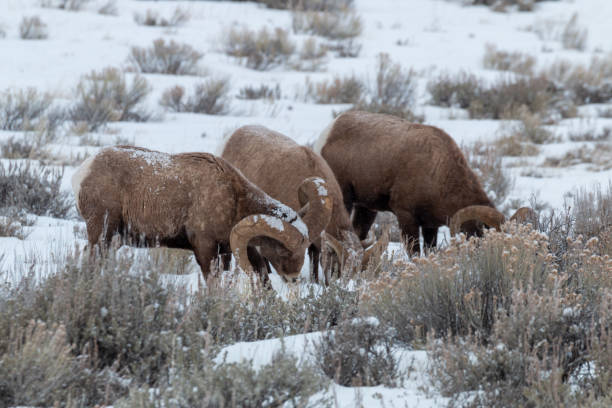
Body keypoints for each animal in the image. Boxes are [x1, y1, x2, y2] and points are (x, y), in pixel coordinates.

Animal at [72, 145, 328, 282]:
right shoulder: (205, 249)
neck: (233, 197)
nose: (293, 278)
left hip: (114, 240)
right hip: (102, 233)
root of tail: (84, 171)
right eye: (283, 249)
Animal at [316, 111, 532, 252]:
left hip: (366, 208)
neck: (438, 173)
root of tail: (327, 134)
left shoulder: (430, 226)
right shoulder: (406, 217)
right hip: (345, 200)